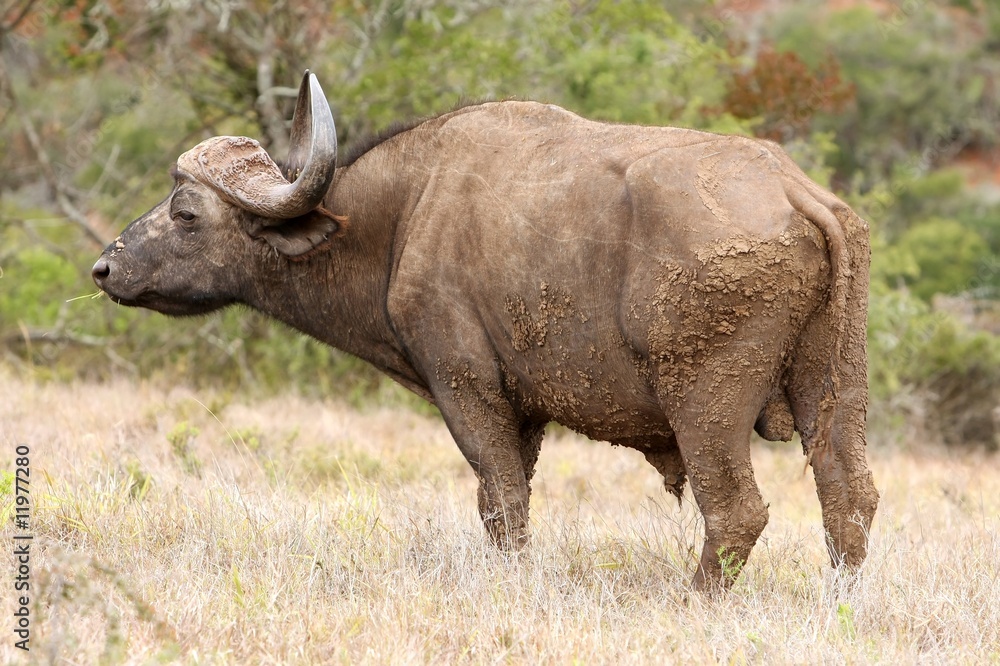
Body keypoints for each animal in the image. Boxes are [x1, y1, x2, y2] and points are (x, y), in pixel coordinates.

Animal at [93, 71, 878, 590]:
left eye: (186, 212)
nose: (105, 267)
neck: (405, 213)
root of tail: (793, 190)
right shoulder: (525, 413)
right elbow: (512, 504)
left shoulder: (468, 389)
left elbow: (499, 503)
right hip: (836, 390)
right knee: (850, 499)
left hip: (704, 402)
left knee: (736, 511)